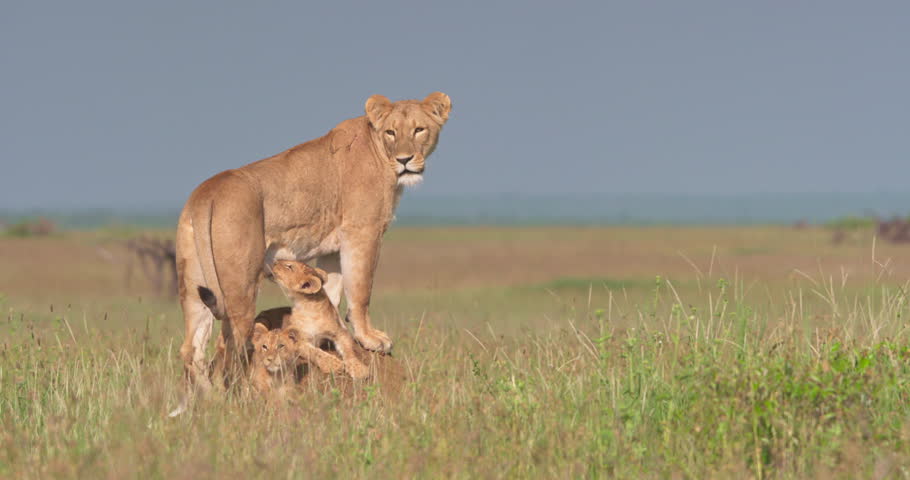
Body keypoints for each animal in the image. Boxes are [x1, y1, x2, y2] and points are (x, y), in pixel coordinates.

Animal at [176, 92, 451, 393]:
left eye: (419, 129)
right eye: (391, 132)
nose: (405, 160)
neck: (379, 150)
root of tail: (208, 191)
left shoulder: (333, 247)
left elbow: (331, 293)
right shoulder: (363, 231)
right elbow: (361, 289)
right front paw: (370, 339)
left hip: (193, 282)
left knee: (192, 348)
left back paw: (205, 398)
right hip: (241, 283)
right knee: (231, 341)